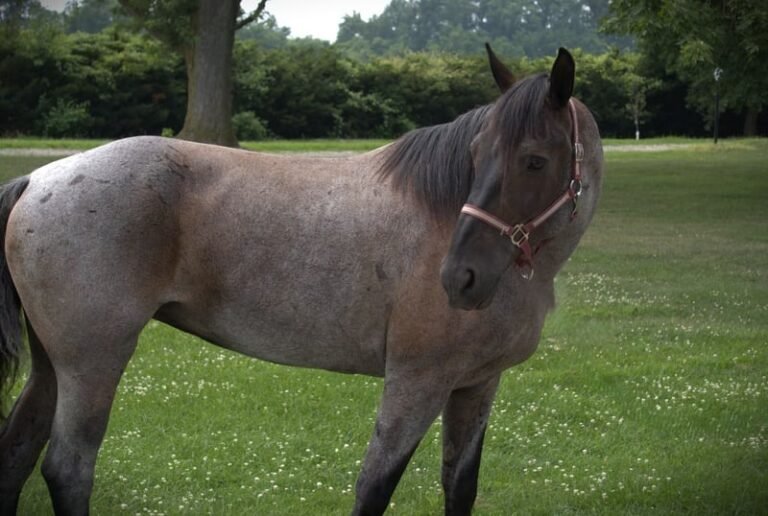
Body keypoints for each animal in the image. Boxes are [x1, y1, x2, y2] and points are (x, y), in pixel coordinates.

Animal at [0, 45, 602, 515]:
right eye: (476, 153)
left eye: (533, 160)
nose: (459, 278)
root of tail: (40, 178)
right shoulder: (416, 383)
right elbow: (374, 488)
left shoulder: (476, 385)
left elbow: (460, 486)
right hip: (92, 365)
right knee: (68, 470)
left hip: (53, 366)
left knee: (18, 451)